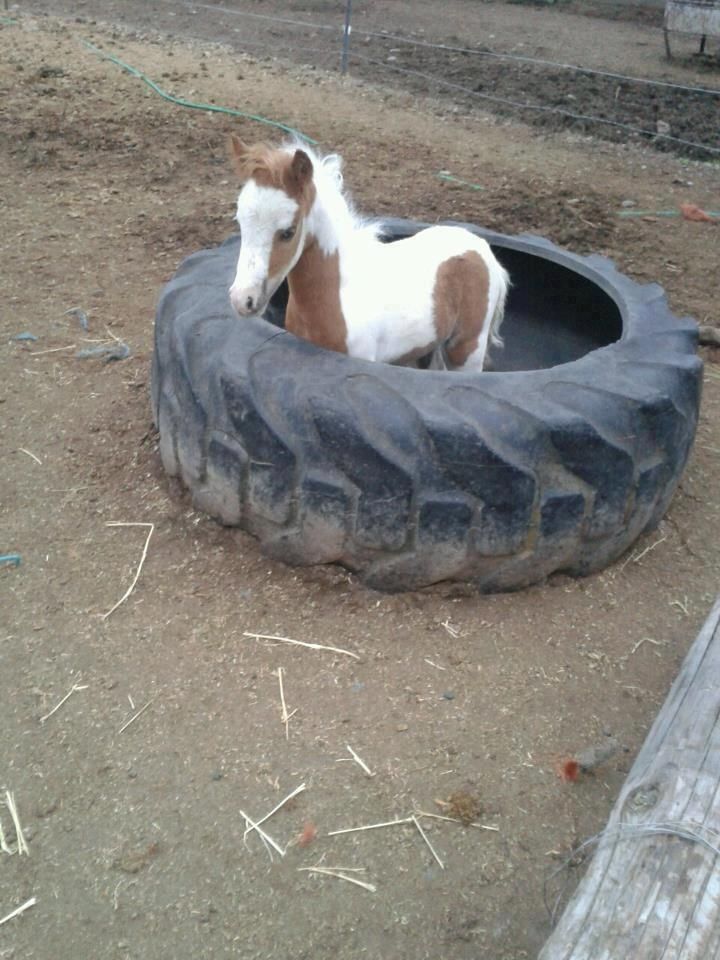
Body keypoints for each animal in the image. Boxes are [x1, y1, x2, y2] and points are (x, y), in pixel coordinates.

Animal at [228, 136, 509, 371]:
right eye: (239, 222)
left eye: (288, 232)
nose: (243, 300)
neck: (338, 294)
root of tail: (483, 248)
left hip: (467, 351)